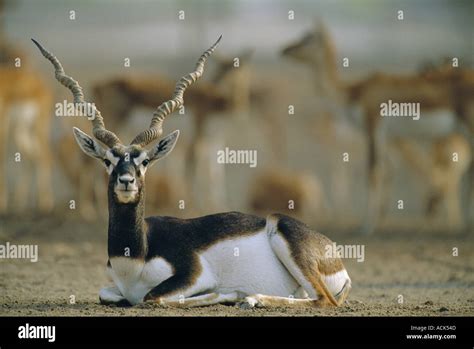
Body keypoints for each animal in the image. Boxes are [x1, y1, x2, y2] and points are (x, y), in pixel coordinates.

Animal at [34, 36, 352, 308]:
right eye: (108, 161)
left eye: (144, 161)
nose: (126, 181)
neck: (136, 256)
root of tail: (334, 255)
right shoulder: (112, 289)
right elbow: (108, 294)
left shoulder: (193, 274)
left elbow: (153, 297)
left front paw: (228, 293)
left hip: (283, 233)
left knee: (325, 301)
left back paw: (251, 298)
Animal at [282, 23, 474, 231]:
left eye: (308, 37)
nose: (285, 50)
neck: (356, 91)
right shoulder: (384, 137)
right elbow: (385, 170)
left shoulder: (373, 126)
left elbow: (373, 172)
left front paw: (366, 226)